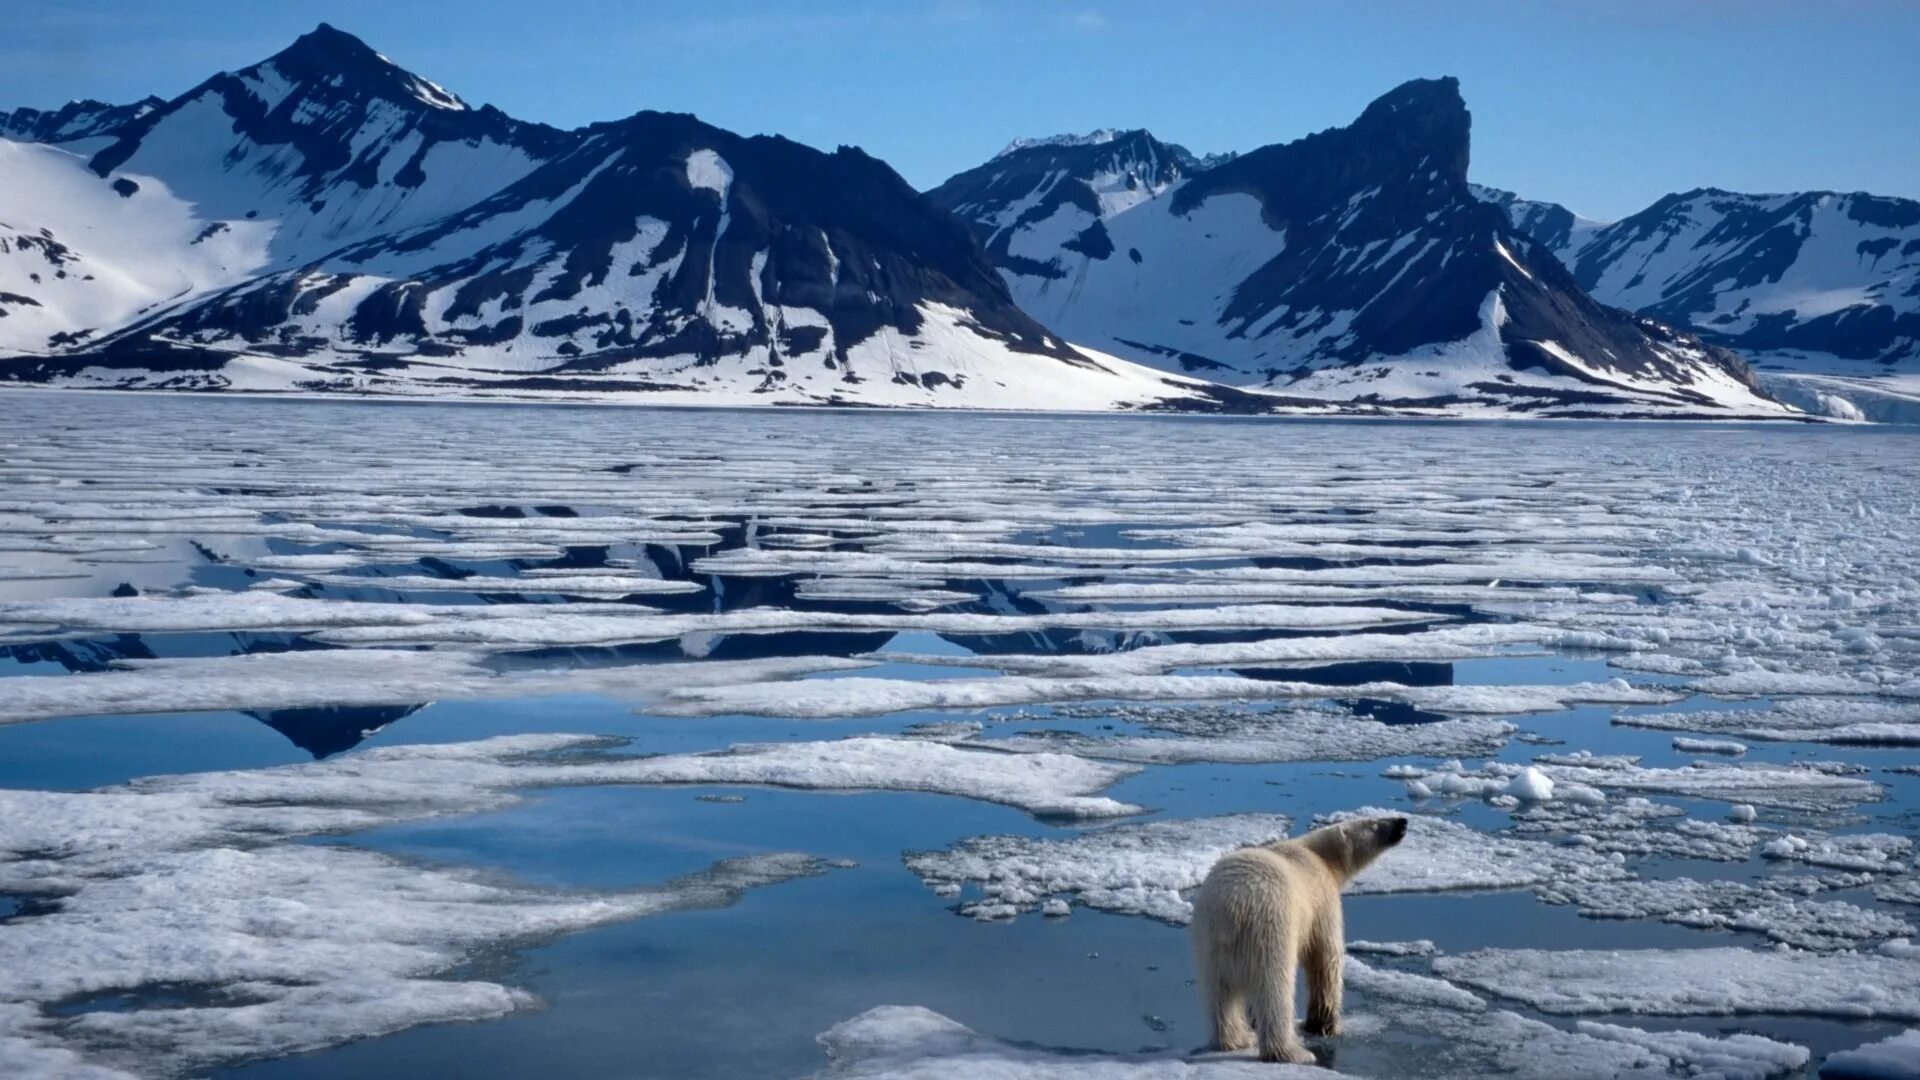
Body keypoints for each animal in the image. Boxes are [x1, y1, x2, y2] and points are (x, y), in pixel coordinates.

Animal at [1190, 814, 1405, 1060]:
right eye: (1375, 823)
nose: (1403, 822)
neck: (1318, 855)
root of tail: (1229, 909)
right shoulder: (1322, 900)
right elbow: (1325, 957)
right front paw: (1323, 1025)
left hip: (1207, 943)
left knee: (1219, 995)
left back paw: (1238, 1040)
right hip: (1269, 929)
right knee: (1275, 988)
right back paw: (1292, 1052)